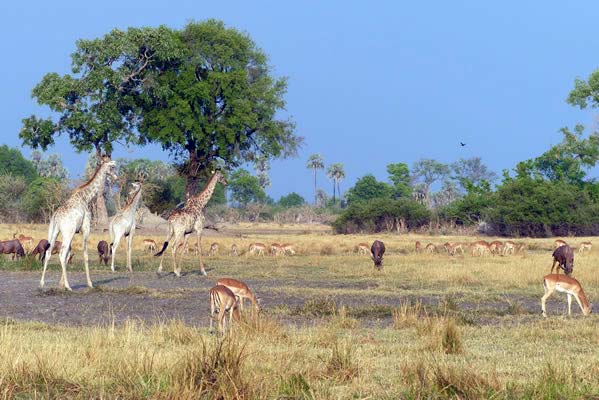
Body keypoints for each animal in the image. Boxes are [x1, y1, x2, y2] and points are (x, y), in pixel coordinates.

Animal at [40, 155, 118, 290]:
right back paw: (69, 287)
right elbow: (85, 255)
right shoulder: (85, 229)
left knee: (49, 252)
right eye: (112, 167)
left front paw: (61, 284)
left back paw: (42, 283)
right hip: (67, 232)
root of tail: (56, 217)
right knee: (61, 254)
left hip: (54, 231)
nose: (116, 177)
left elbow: (68, 255)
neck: (86, 197)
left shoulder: (74, 232)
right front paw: (90, 284)